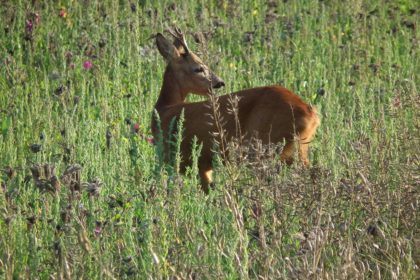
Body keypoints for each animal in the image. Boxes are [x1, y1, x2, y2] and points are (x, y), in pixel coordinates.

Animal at [151, 28, 318, 192]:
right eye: (198, 68)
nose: (219, 82)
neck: (164, 109)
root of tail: (311, 114)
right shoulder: (202, 166)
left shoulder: (173, 159)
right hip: (297, 147)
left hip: (264, 147)